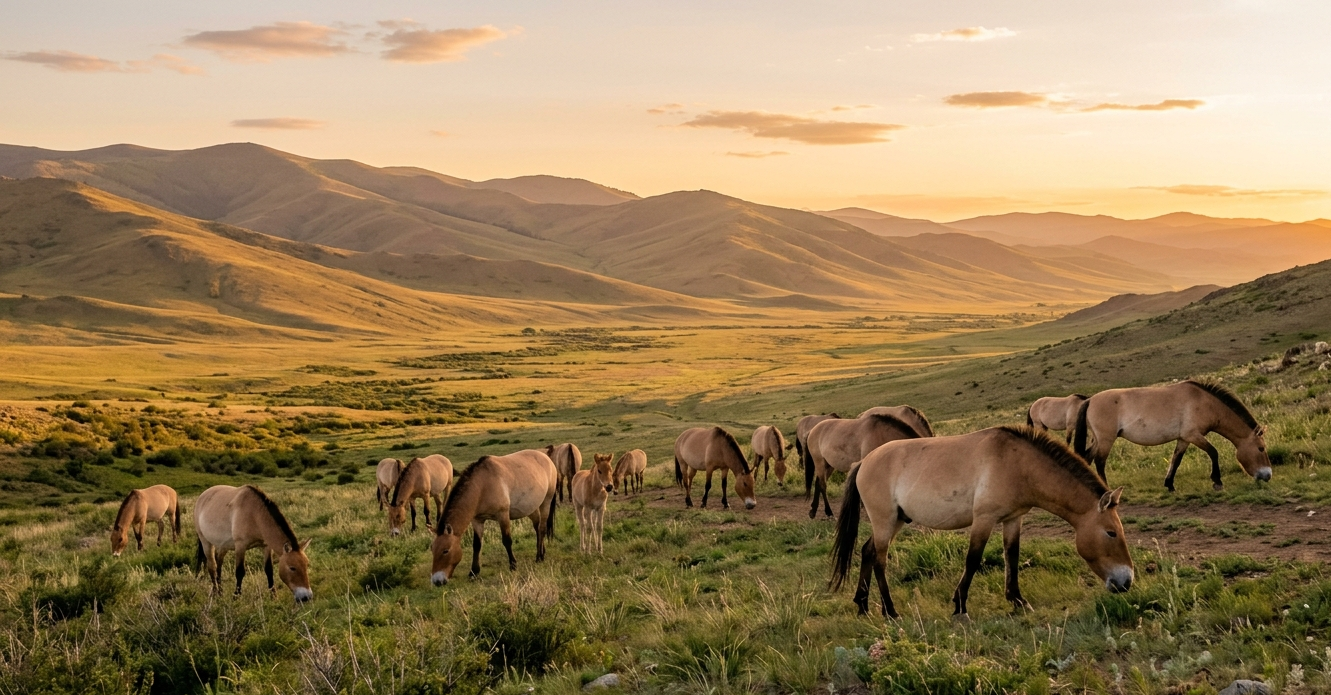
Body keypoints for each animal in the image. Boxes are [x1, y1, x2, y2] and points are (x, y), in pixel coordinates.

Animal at [430, 449, 558, 586]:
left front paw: (513, 565)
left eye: (445, 550)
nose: (437, 581)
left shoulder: (503, 515)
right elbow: (477, 545)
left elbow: (507, 541)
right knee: (537, 527)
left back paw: (539, 557)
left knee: (542, 529)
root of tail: (546, 457)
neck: (482, 485)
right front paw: (474, 572)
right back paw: (542, 552)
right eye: (432, 549)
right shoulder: (477, 520)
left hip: (546, 501)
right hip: (531, 508)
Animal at [830, 426, 1133, 618]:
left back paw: (863, 605)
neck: (1017, 463)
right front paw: (960, 605)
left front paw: (1018, 600)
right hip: (885, 521)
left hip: (895, 521)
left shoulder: (1013, 518)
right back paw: (891, 611)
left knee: (867, 551)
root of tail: (863, 462)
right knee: (879, 560)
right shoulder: (984, 519)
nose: (1126, 581)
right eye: (1111, 533)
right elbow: (973, 559)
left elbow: (1012, 556)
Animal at [1073, 379, 1272, 491]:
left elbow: (1176, 460)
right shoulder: (1193, 435)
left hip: (1098, 440)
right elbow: (1213, 452)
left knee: (1087, 458)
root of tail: (1090, 400)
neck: (1205, 403)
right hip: (1106, 439)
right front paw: (1217, 482)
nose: (1268, 475)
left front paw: (1169, 484)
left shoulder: (1183, 439)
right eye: (1261, 448)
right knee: (1099, 461)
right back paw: (1106, 488)